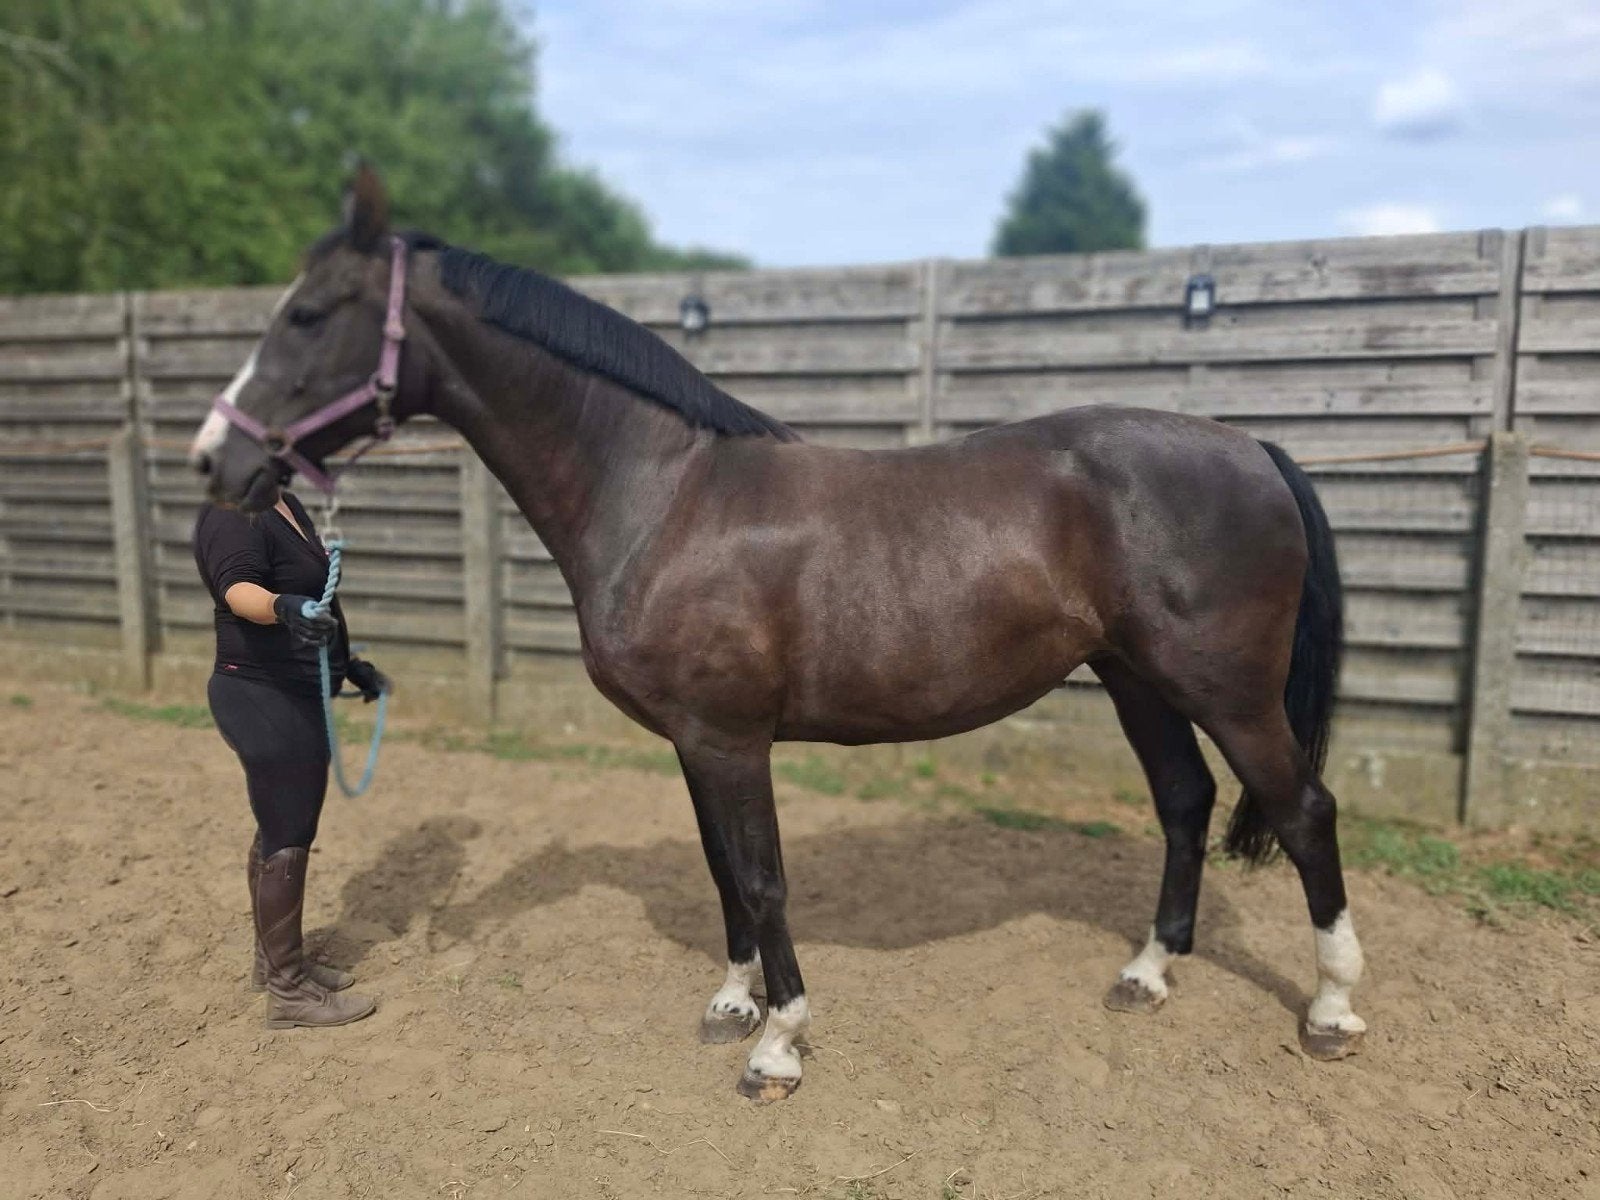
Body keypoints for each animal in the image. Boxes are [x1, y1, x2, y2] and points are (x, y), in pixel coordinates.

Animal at [190, 167, 1366, 1102]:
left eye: (310, 315)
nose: (215, 458)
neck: (662, 495)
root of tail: (1252, 449)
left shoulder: (729, 738)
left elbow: (761, 879)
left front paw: (779, 1048)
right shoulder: (694, 741)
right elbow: (722, 873)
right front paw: (732, 1003)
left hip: (1224, 690)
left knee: (1302, 809)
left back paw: (1332, 1010)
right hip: (1134, 677)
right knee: (1185, 803)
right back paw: (1147, 975)